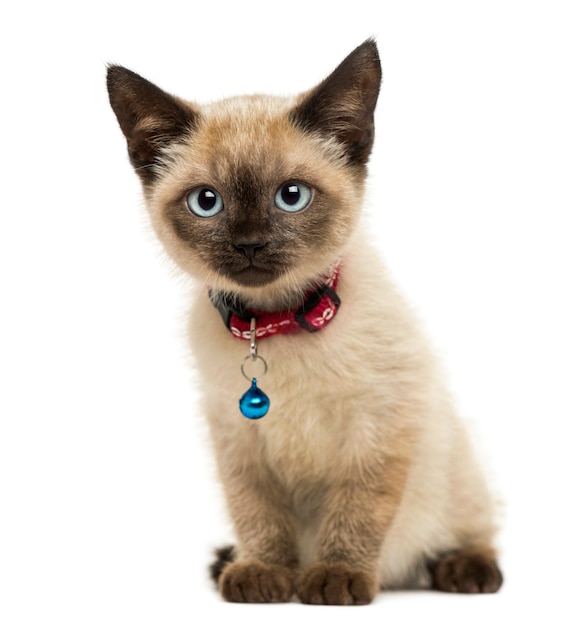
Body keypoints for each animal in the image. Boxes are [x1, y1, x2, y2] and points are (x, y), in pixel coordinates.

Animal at [108, 40, 502, 604]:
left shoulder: (381, 423)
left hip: (454, 465)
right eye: (207, 202)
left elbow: (357, 509)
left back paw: (463, 570)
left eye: (290, 196)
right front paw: (263, 573)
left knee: (472, 527)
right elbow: (257, 513)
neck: (274, 321)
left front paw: (336, 577)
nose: (249, 244)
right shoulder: (237, 439)